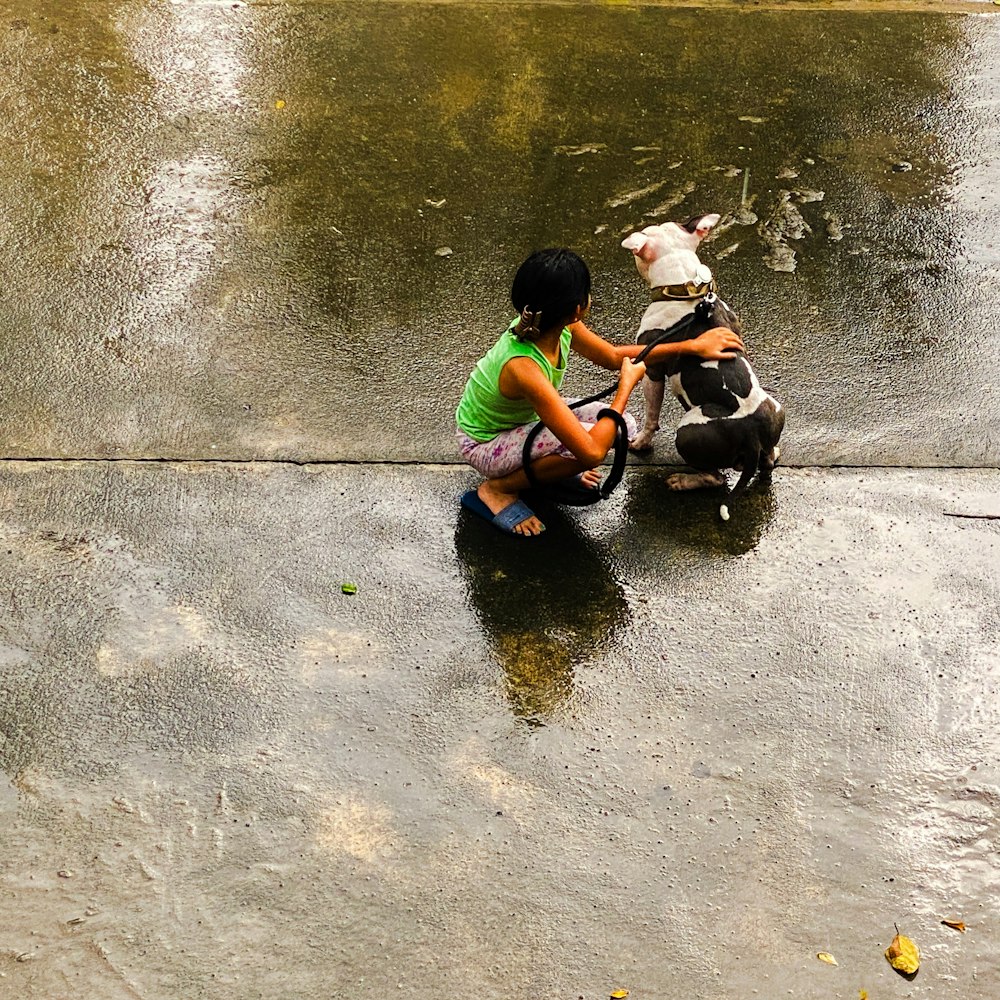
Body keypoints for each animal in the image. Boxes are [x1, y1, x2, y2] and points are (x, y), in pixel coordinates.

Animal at [624, 214, 780, 520]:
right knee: (766, 462)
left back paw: (683, 481)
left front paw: (641, 442)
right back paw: (774, 453)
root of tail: (752, 437)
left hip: (688, 432)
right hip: (775, 409)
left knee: (715, 477)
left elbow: (651, 414)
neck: (686, 291)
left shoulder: (651, 370)